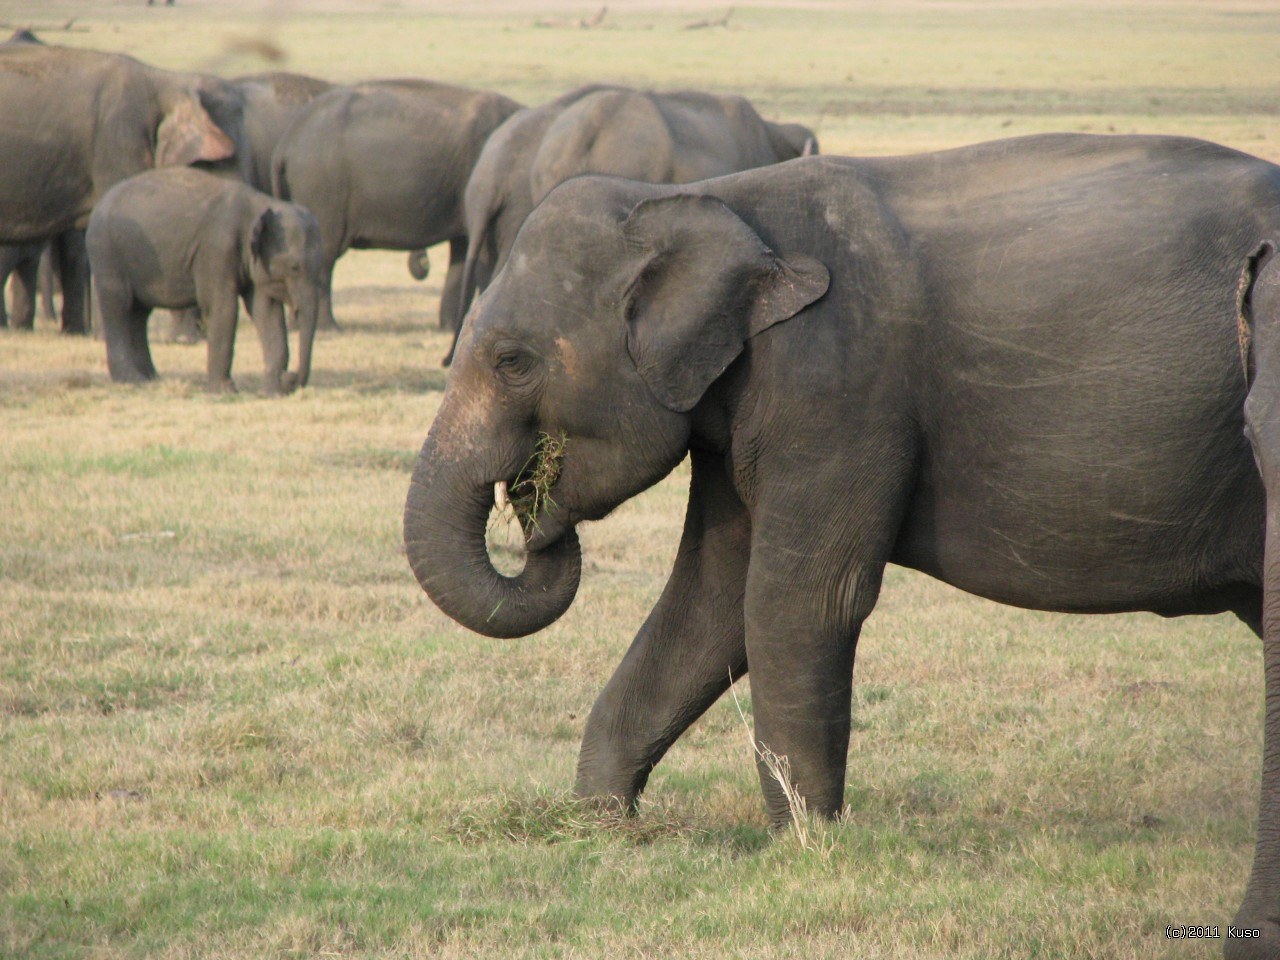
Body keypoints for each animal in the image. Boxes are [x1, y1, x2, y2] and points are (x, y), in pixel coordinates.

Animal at [86, 167, 325, 394]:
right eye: (294, 267)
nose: (290, 378)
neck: (262, 204)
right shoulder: (216, 250)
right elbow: (223, 308)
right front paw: (225, 391)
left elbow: (266, 312)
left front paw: (271, 393)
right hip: (107, 253)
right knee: (119, 307)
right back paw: (131, 380)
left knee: (139, 314)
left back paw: (151, 379)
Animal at [272, 77, 522, 330]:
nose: (421, 263)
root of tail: (285, 144)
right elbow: (483, 254)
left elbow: (463, 252)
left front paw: (450, 327)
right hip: (322, 189)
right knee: (325, 255)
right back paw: (329, 328)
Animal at [401, 133, 1280, 957]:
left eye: (511, 362)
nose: (536, 517)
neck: (706, 199)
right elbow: (709, 603)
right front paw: (599, 827)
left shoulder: (834, 383)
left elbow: (797, 601)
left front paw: (802, 850)